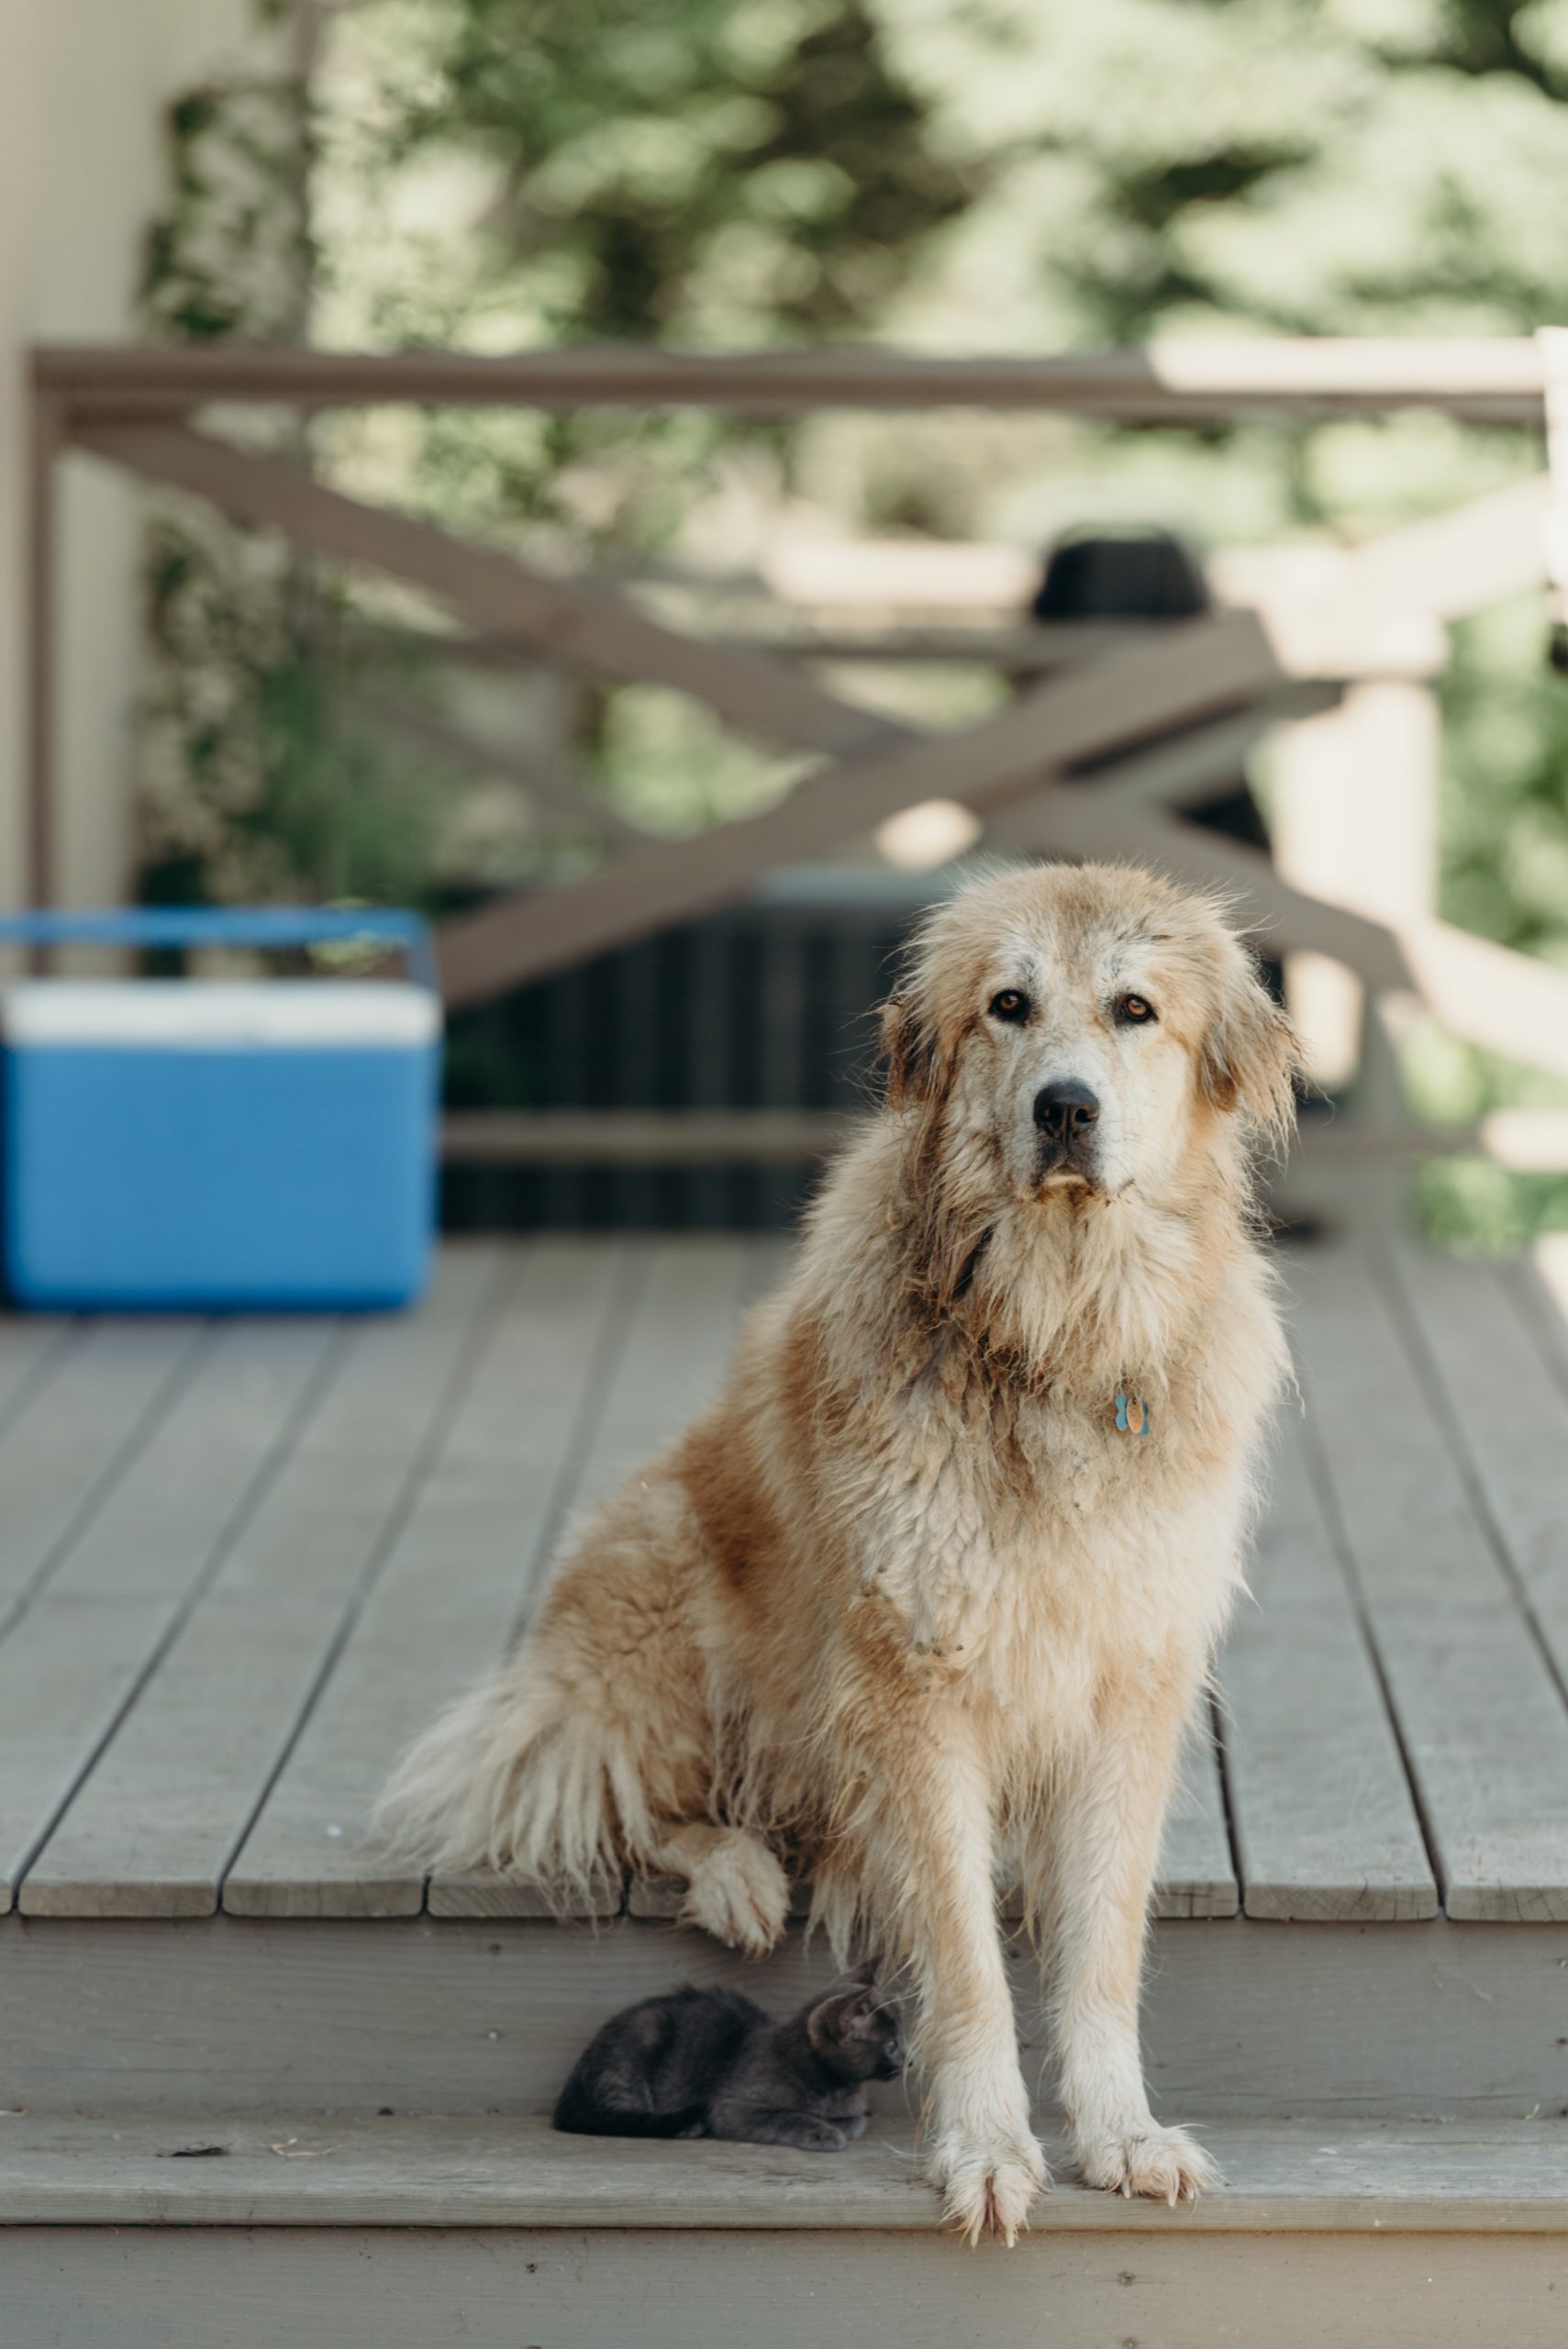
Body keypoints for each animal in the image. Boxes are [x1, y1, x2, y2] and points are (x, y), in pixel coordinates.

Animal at [551, 1964, 901, 2151]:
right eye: (892, 2045)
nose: (908, 2061)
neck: (833, 2087)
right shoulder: (733, 2108)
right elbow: (786, 2116)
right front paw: (822, 2132)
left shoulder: (853, 2110)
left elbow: (855, 2121)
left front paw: (835, 2125)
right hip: (642, 2036)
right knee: (618, 2117)